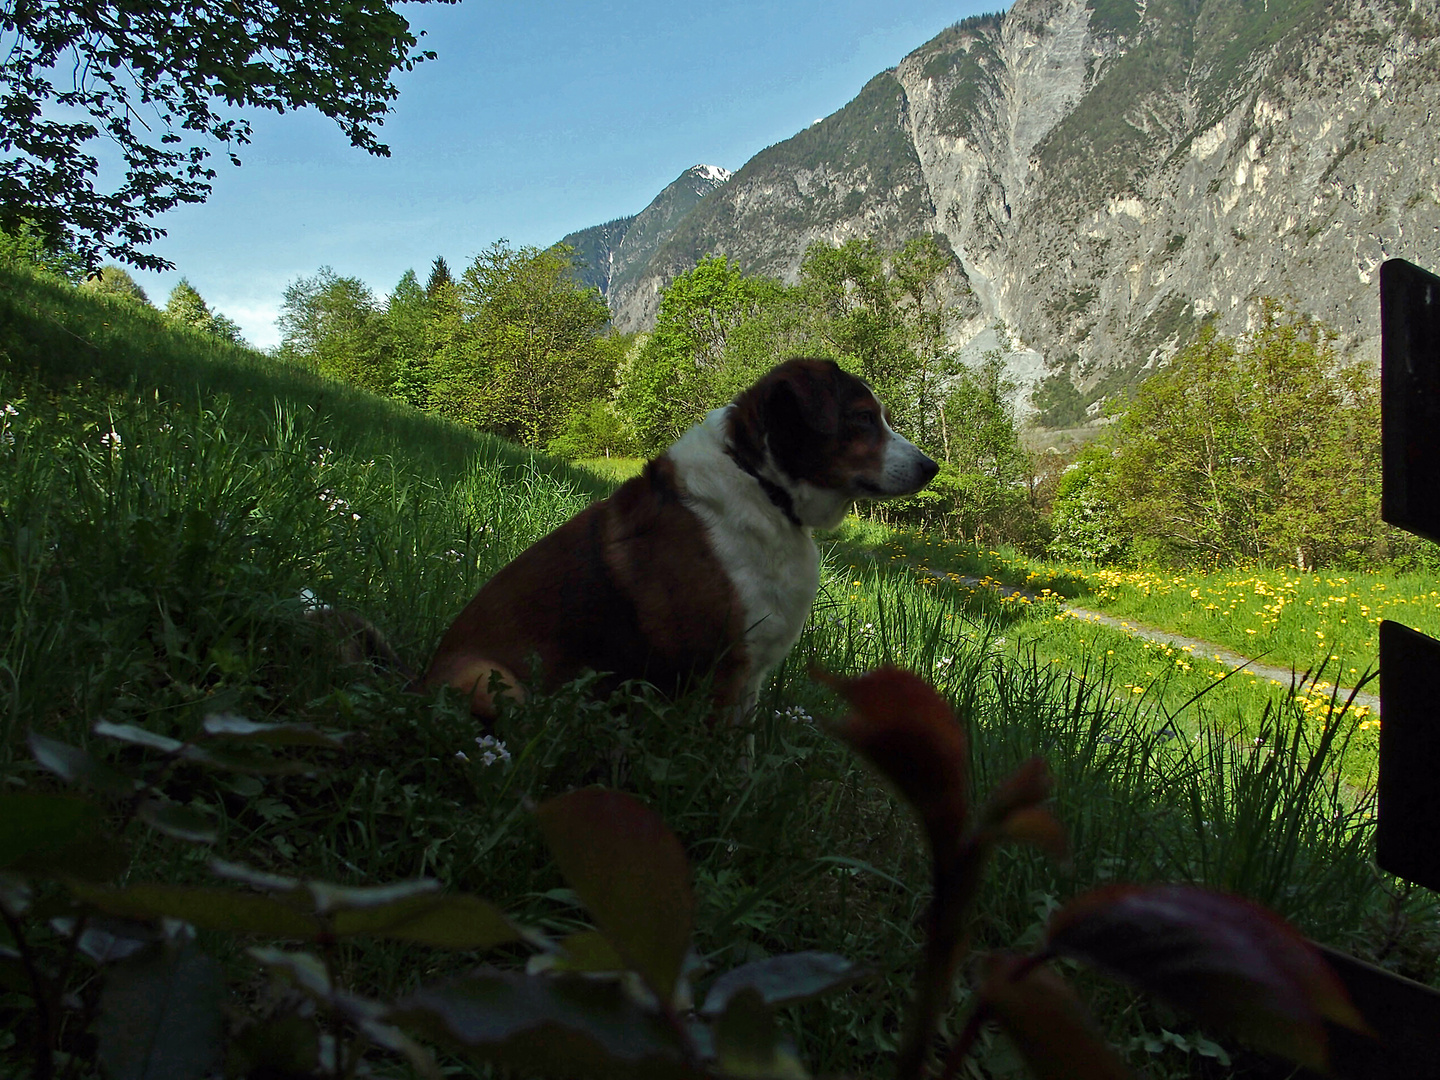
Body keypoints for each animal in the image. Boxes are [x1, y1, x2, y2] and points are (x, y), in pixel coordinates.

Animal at [417, 360, 938, 722]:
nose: (931, 468)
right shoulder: (723, 671)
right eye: (863, 418)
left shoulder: (746, 679)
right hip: (492, 680)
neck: (760, 483)